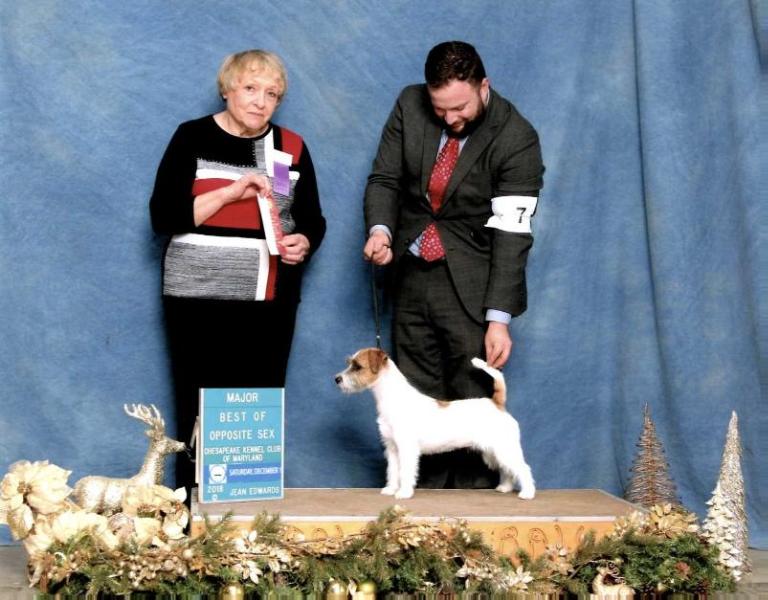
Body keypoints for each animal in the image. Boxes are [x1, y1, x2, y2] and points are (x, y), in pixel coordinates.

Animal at [336, 350, 536, 500]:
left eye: (357, 366)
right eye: (350, 363)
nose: (337, 379)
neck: (392, 398)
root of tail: (496, 403)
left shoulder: (407, 449)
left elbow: (405, 472)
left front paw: (403, 493)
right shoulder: (392, 448)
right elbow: (393, 471)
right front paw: (391, 489)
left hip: (504, 448)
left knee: (523, 468)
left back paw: (527, 493)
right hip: (494, 451)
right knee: (507, 470)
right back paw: (505, 487)